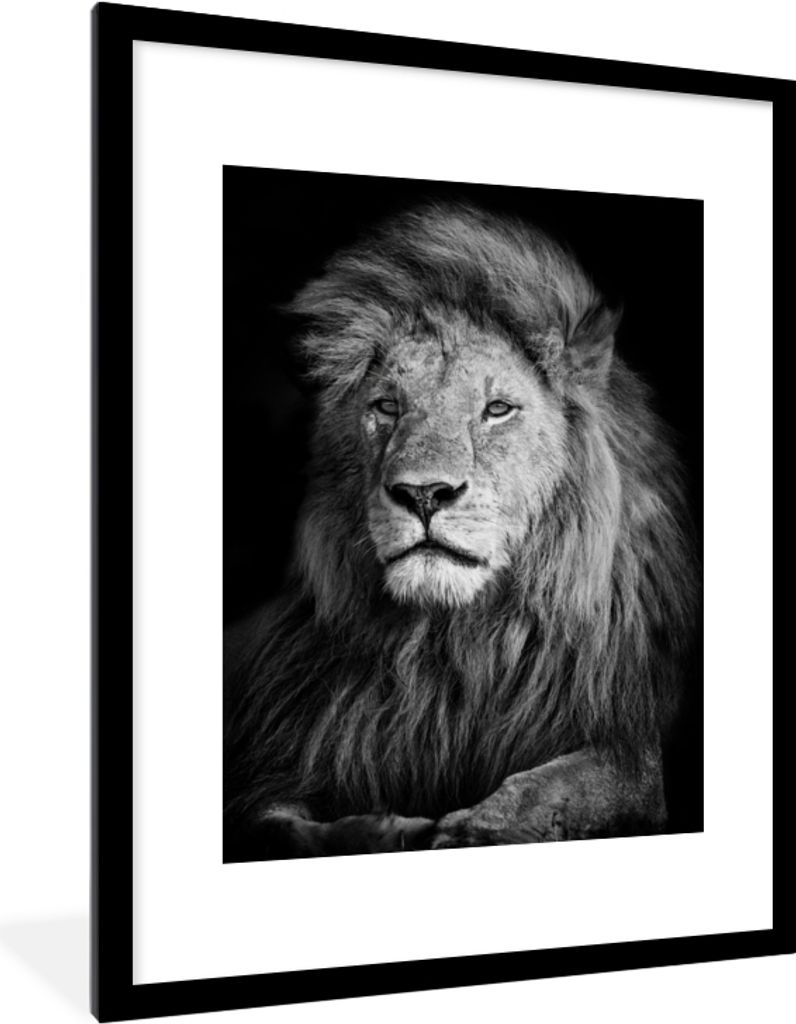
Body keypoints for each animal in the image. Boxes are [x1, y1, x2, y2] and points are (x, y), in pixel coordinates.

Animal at [224, 201, 699, 859]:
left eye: (496, 409)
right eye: (387, 406)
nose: (424, 493)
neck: (452, 647)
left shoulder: (630, 749)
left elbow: (553, 786)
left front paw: (470, 829)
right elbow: (277, 827)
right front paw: (381, 831)